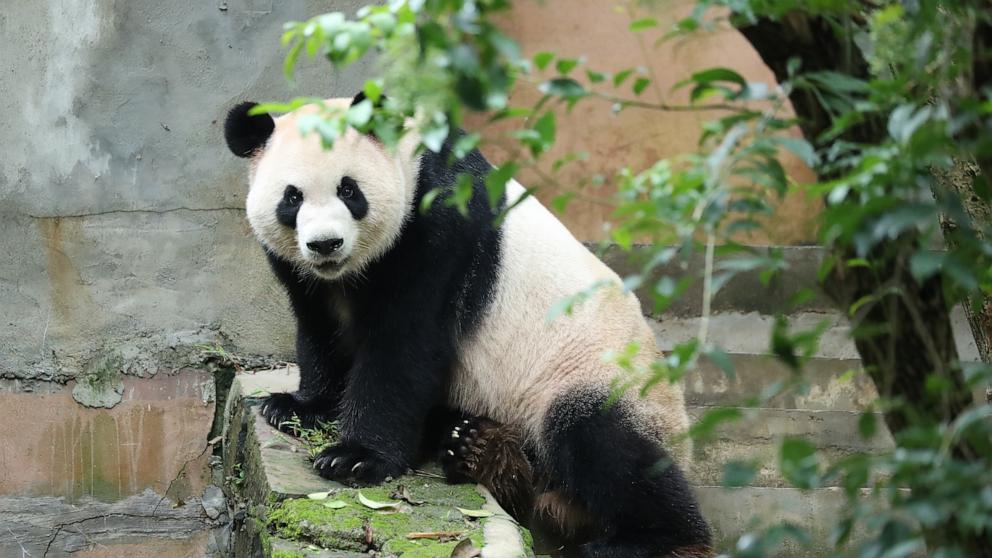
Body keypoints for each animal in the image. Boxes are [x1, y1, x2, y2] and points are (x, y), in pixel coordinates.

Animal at [224, 94, 712, 558]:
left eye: (349, 190)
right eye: (292, 197)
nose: (326, 244)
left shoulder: (438, 227)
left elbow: (404, 346)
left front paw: (355, 458)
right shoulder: (308, 278)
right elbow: (320, 331)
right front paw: (297, 406)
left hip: (594, 374)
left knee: (604, 445)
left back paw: (648, 539)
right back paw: (473, 448)